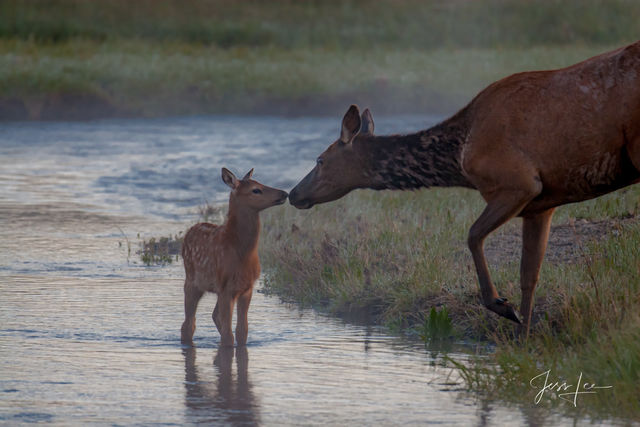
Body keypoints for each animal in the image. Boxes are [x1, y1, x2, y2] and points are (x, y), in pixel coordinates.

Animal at [181, 167, 288, 348]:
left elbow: (241, 331)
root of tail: (190, 230)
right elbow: (228, 335)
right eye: (256, 190)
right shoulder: (226, 287)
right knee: (189, 323)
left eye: (261, 182)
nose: (285, 193)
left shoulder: (246, 287)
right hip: (191, 281)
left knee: (213, 316)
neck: (241, 254)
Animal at [288, 41, 640, 338]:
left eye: (320, 159)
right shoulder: (541, 205)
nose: (293, 193)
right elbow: (529, 276)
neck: (459, 155)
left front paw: (501, 306)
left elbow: (472, 235)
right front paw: (524, 339)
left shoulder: (520, 183)